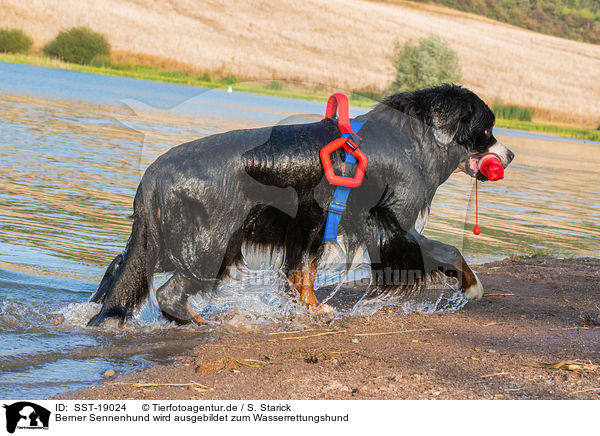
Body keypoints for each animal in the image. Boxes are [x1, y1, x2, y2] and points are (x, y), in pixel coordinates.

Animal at [89, 84, 516, 328]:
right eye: (486, 129)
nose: (509, 155)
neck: (413, 139)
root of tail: (153, 174)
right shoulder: (392, 223)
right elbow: (447, 249)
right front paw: (472, 286)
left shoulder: (312, 226)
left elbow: (301, 276)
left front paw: (312, 312)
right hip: (211, 243)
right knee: (169, 292)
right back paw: (199, 323)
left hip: (167, 240)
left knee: (123, 269)